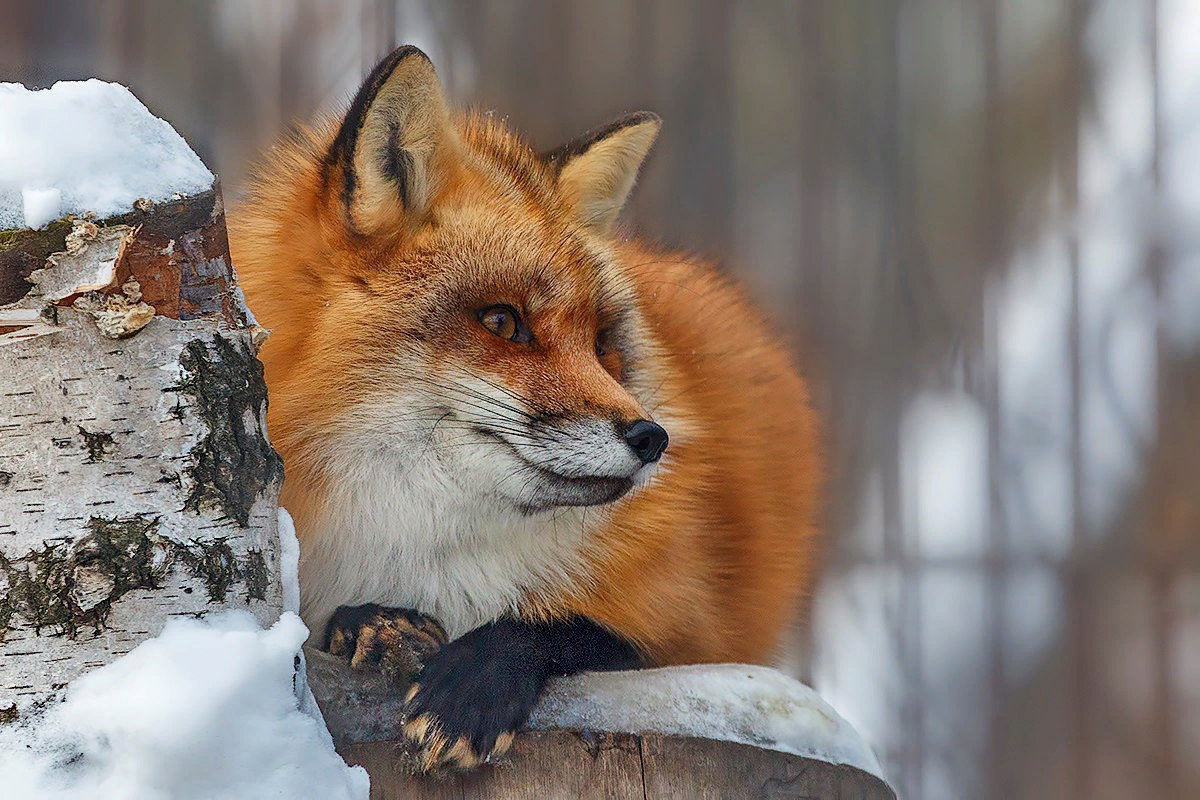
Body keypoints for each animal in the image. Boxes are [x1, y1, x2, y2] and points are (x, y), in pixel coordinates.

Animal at [229, 47, 820, 772]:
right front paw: (371, 623)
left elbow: (577, 629)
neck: (420, 546)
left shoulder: (696, 625)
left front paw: (475, 682)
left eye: (601, 343)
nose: (652, 438)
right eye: (502, 322)